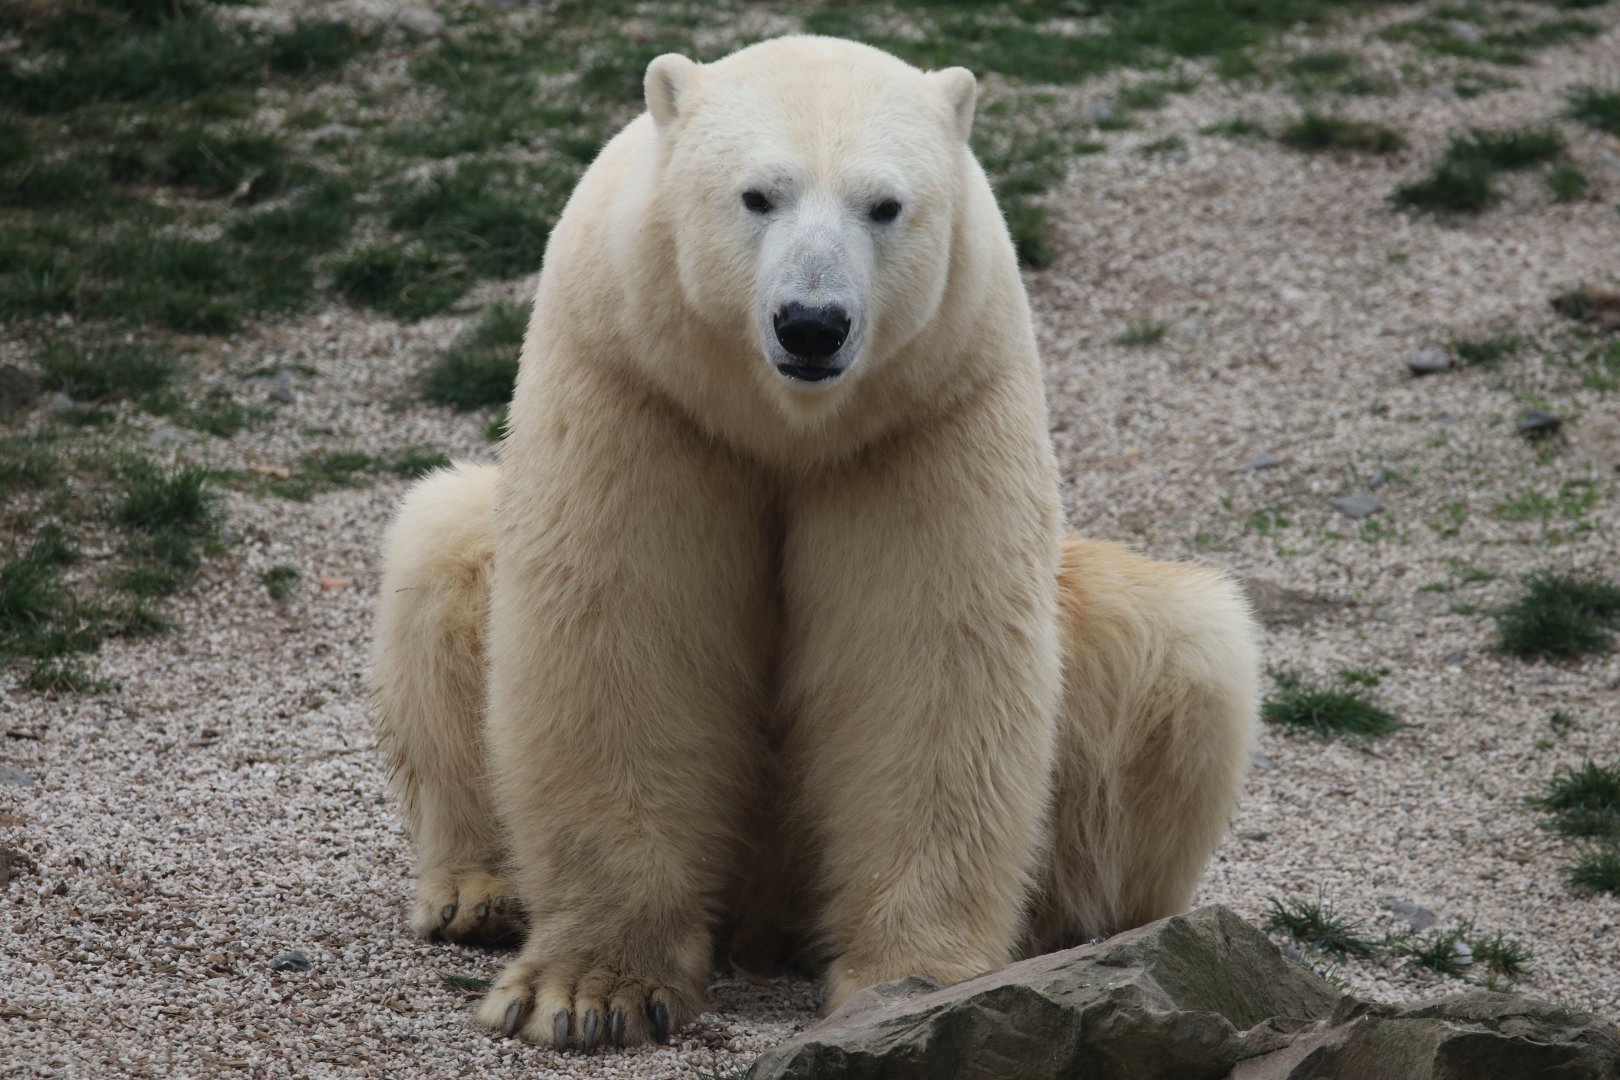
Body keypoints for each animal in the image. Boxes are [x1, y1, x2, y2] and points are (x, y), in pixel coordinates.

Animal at [370, 35, 1259, 1052]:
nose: (812, 323)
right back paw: (478, 894)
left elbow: (924, 663)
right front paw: (592, 991)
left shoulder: (926, 412)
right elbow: (622, 632)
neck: (786, 424)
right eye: (759, 194)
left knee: (1186, 646)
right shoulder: (639, 383)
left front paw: (915, 979)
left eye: (886, 204)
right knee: (441, 548)